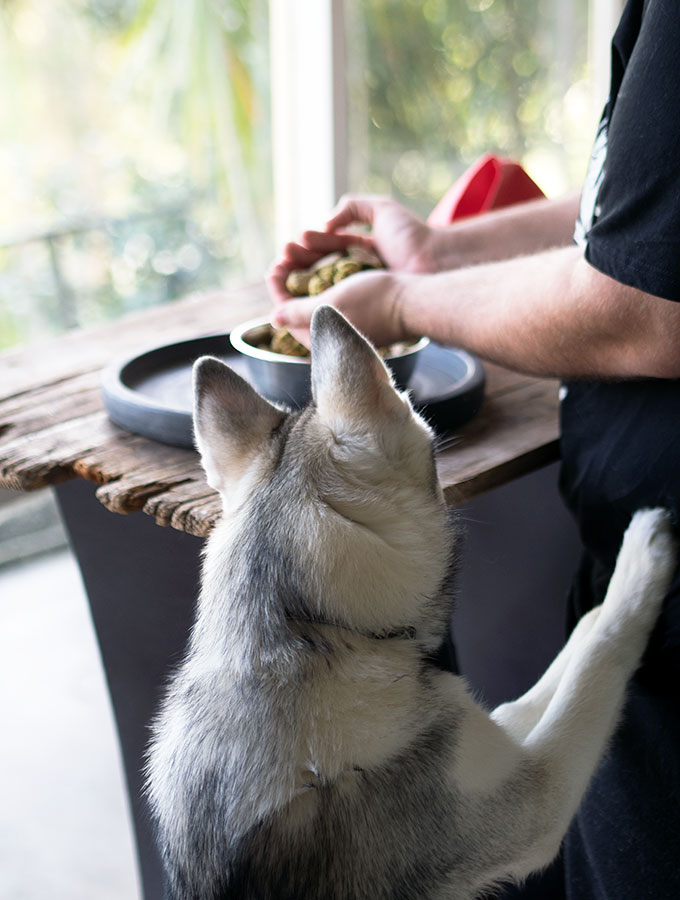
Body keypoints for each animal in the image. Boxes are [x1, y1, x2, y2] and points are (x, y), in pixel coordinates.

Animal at [146, 306, 676, 896]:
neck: (310, 631)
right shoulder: (539, 795)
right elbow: (599, 660)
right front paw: (641, 560)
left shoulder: (483, 740)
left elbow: (552, 674)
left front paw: (595, 606)